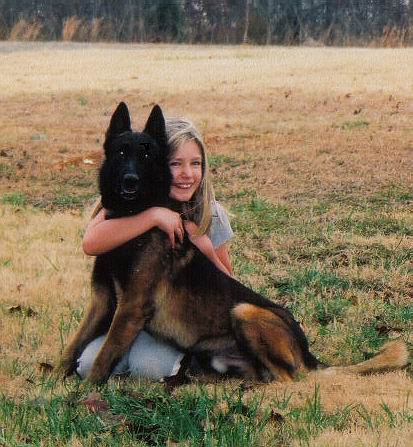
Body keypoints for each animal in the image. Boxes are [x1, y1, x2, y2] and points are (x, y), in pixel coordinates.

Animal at [58, 102, 408, 384]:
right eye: (121, 153)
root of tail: (311, 356)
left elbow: (103, 356)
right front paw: (52, 382)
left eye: (147, 154)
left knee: (289, 379)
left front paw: (80, 397)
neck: (132, 220)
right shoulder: (103, 301)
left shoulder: (130, 307)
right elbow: (73, 346)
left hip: (244, 311)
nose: (131, 180)